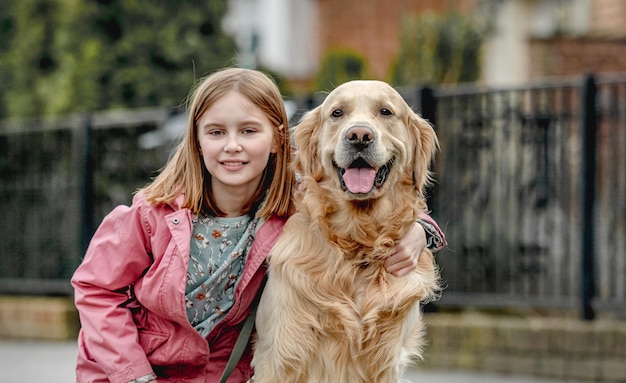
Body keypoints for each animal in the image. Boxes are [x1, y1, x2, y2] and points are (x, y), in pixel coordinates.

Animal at [250, 79, 438, 382]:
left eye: (385, 111)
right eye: (337, 113)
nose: (359, 135)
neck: (358, 244)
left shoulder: (385, 362)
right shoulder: (280, 356)